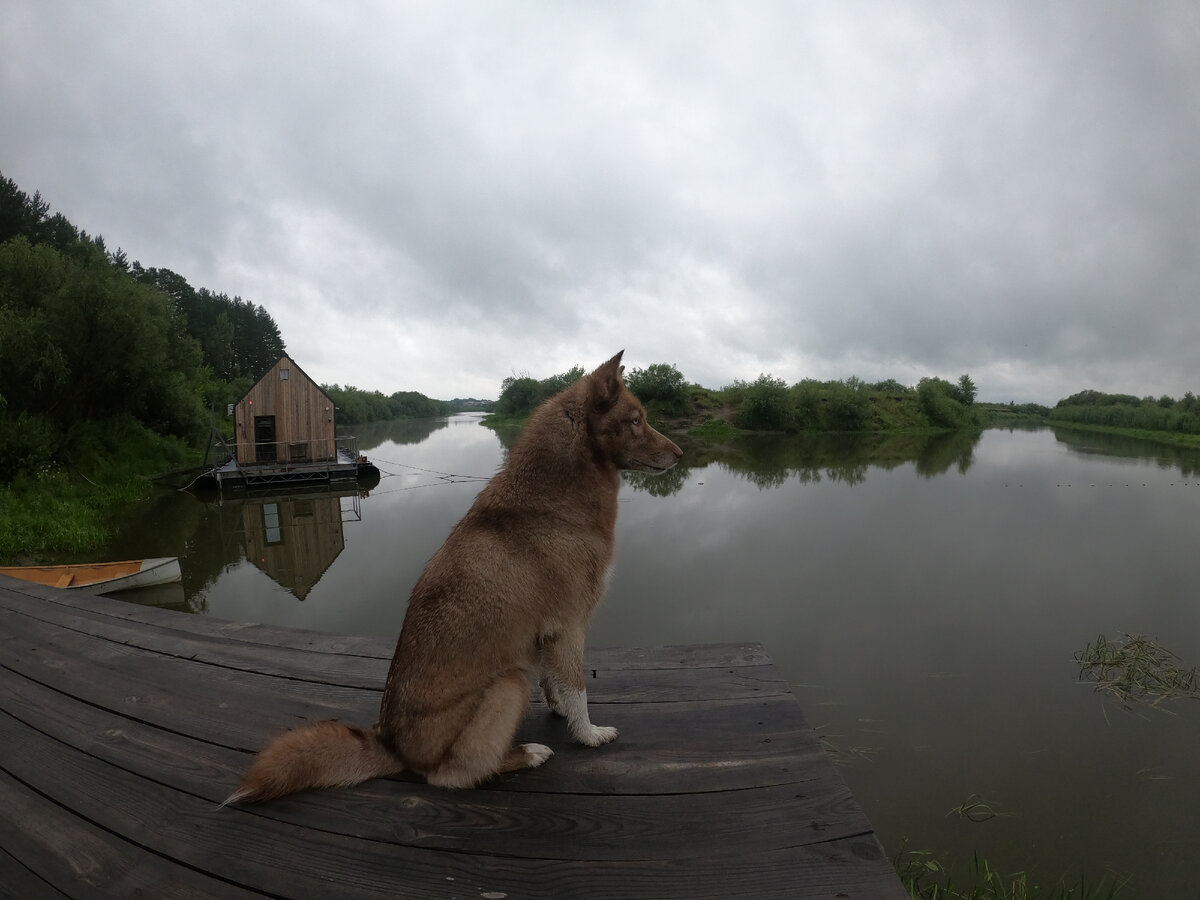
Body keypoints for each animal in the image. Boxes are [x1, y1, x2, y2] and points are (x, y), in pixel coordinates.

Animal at [220, 352, 681, 801]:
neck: (555, 500)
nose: (679, 454)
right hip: (509, 683)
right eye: (636, 420)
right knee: (455, 774)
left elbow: (555, 682)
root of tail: (392, 745)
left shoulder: (548, 636)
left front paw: (561, 710)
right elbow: (578, 689)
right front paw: (588, 734)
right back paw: (528, 753)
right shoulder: (569, 626)